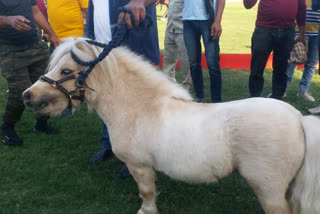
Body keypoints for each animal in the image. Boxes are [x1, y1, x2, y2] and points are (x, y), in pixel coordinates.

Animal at [23, 37, 320, 213]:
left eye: (65, 71)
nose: (27, 95)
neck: (139, 107)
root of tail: (298, 119)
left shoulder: (140, 166)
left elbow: (146, 192)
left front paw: (146, 211)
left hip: (269, 191)